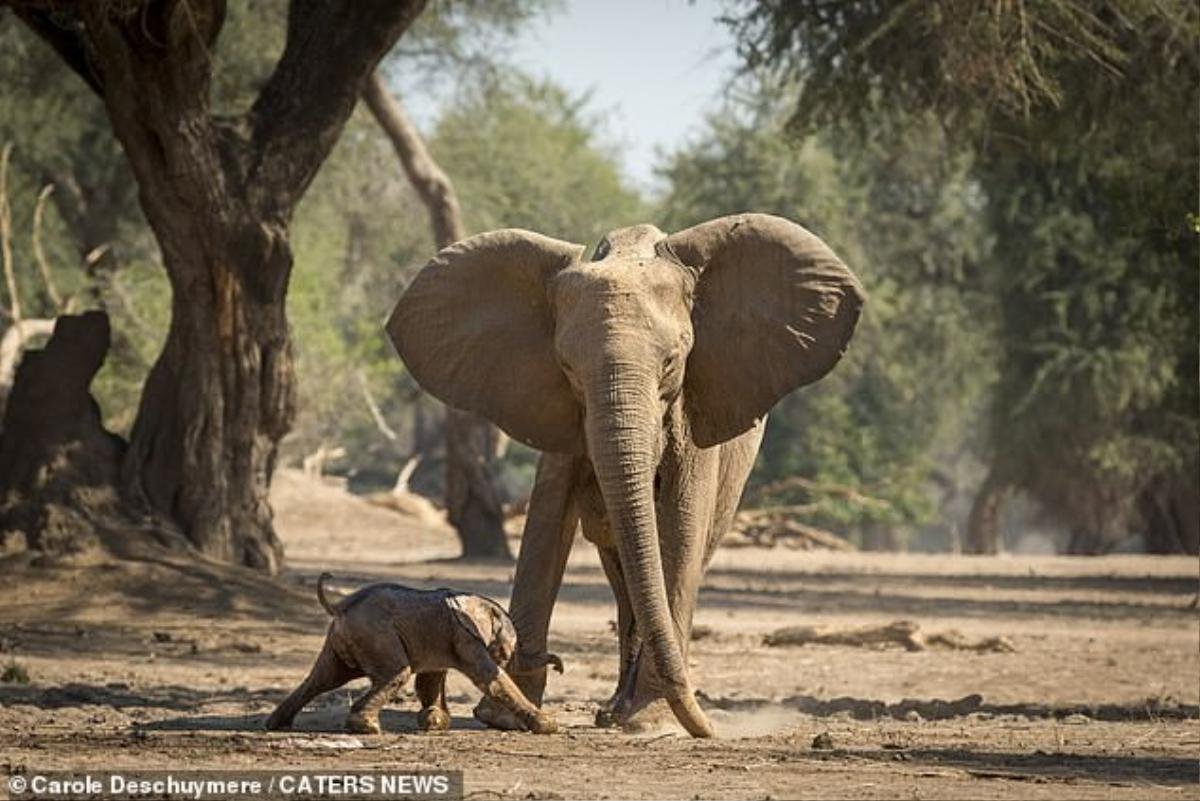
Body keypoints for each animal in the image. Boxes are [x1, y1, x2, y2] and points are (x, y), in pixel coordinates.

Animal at [264, 573, 561, 733]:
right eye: (509, 649)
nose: (560, 667)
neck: (479, 603)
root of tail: (340, 606)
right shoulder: (465, 636)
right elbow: (490, 678)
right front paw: (548, 726)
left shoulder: (442, 638)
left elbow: (430, 679)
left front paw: (435, 723)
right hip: (376, 635)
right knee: (396, 673)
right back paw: (368, 728)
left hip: (342, 640)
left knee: (322, 679)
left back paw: (276, 725)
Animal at [388, 214, 868, 738]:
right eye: (567, 367)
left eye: (672, 362)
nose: (707, 728)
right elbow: (548, 521)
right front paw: (506, 717)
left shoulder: (696, 406)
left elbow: (679, 527)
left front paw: (649, 720)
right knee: (624, 571)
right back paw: (615, 708)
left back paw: (626, 713)